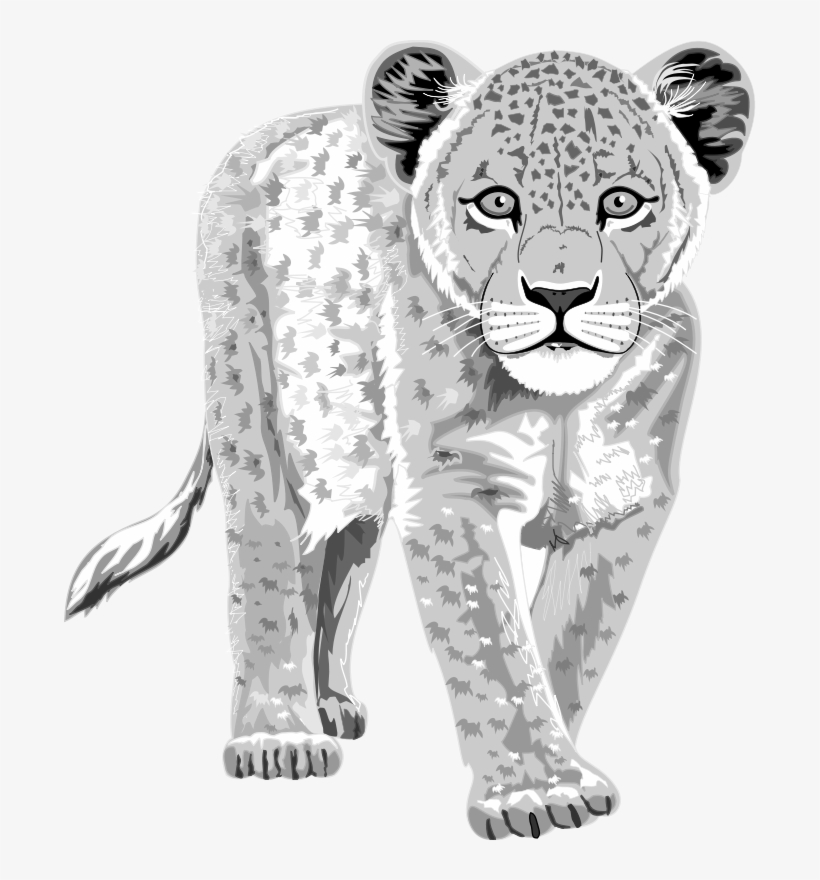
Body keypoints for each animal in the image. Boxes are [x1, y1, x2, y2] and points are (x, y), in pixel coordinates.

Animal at [66, 40, 753, 839]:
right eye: (496, 203)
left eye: (620, 203)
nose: (559, 295)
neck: (559, 402)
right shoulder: (452, 487)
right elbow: (490, 641)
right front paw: (535, 791)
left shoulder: (621, 501)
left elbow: (570, 639)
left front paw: (556, 762)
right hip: (254, 402)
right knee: (266, 554)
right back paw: (279, 735)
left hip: (355, 464)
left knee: (334, 560)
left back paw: (330, 703)